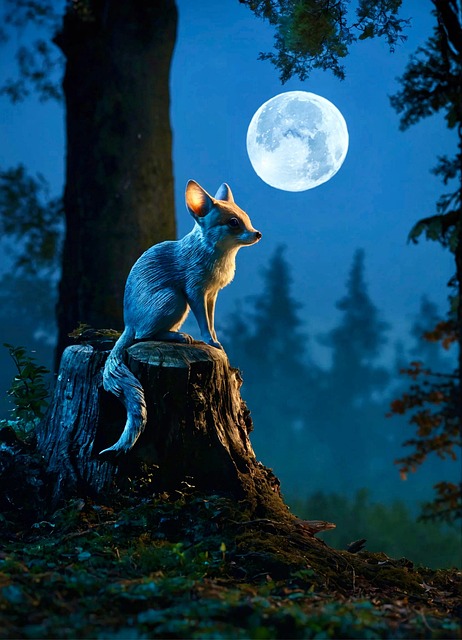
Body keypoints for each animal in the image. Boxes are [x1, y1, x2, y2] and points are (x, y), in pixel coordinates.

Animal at [100, 179, 262, 455]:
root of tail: (127, 323)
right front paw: (209, 341)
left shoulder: (212, 295)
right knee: (144, 335)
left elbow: (211, 321)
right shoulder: (195, 292)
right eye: (233, 223)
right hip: (175, 300)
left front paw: (216, 341)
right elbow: (204, 322)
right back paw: (179, 337)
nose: (257, 233)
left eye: (246, 218)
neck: (217, 255)